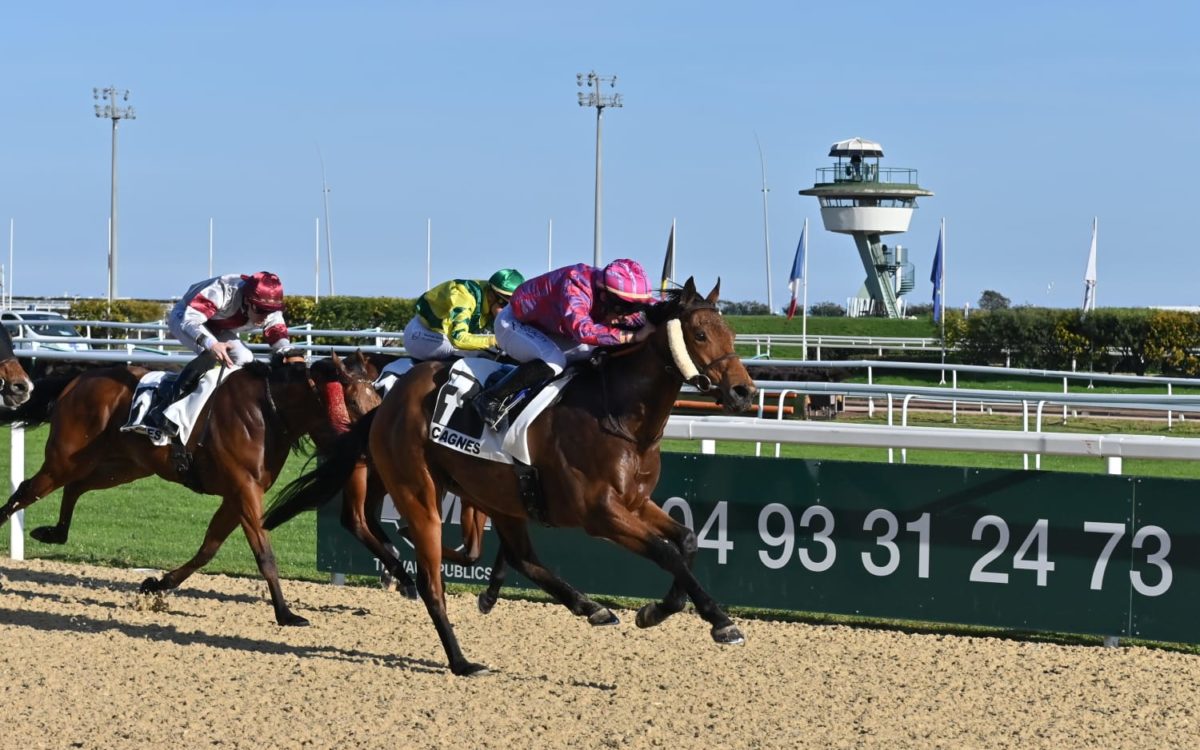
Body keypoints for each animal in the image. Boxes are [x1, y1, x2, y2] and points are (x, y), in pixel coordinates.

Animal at [0, 350, 376, 624]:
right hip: (66, 459)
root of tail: (78, 378)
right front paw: (286, 614)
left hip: (121, 468)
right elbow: (264, 554)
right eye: (354, 402)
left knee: (75, 488)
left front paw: (157, 584)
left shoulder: (237, 494)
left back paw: (54, 532)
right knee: (26, 490)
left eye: (377, 400)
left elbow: (208, 548)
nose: (372, 444)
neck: (267, 411)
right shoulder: (244, 491)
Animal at [267, 278, 753, 676]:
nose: (744, 391)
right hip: (418, 489)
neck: (617, 416)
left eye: (731, 334)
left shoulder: (634, 503)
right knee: (428, 576)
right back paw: (460, 659)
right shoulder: (601, 514)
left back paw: (588, 606)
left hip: (500, 495)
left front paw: (660, 610)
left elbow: (686, 541)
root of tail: (386, 402)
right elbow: (666, 552)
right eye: (700, 334)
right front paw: (721, 621)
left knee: (521, 556)